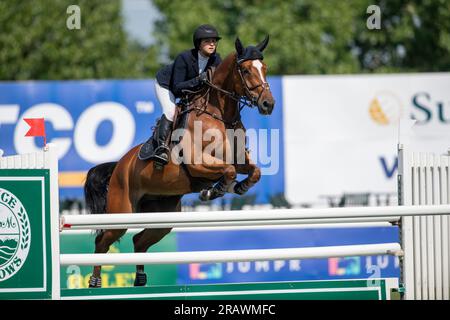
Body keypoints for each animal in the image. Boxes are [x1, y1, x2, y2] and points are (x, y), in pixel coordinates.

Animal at [83, 35, 276, 288]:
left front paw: (239, 187)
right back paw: (95, 282)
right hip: (122, 211)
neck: (220, 115)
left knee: (139, 240)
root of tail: (119, 166)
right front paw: (212, 191)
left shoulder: (239, 159)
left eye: (264, 68)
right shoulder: (198, 163)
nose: (268, 104)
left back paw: (140, 280)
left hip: (162, 216)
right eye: (245, 70)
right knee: (103, 241)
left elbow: (253, 171)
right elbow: (228, 171)